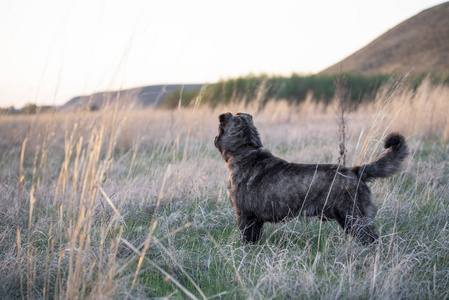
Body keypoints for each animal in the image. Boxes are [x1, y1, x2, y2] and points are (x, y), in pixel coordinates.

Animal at [215, 111, 408, 245]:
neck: (245, 150)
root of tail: (356, 171)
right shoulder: (256, 221)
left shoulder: (244, 216)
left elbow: (246, 240)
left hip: (354, 221)